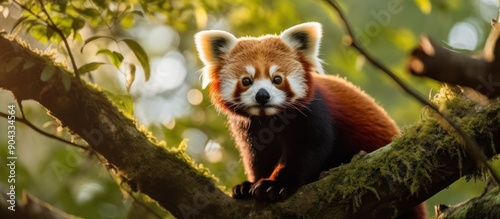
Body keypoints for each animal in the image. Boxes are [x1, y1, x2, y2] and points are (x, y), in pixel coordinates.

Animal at [195, 22, 426, 217]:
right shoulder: (250, 129)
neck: (269, 118)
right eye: (246, 81)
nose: (262, 96)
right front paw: (248, 186)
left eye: (277, 79)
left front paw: (275, 184)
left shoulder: (313, 113)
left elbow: (310, 147)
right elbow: (258, 156)